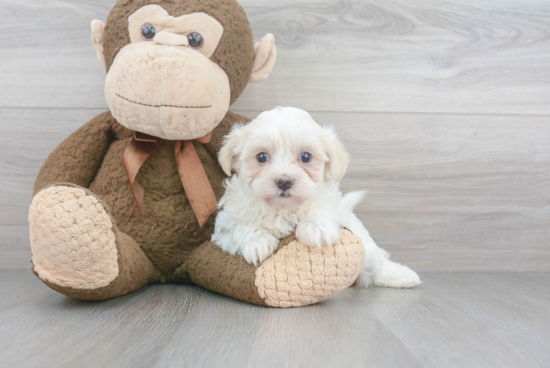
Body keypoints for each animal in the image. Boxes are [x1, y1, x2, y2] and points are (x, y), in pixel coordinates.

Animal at [213, 106, 420, 288]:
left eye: (306, 157)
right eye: (261, 157)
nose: (284, 181)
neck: (283, 209)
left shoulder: (334, 208)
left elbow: (320, 210)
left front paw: (316, 228)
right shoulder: (224, 224)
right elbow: (239, 225)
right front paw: (257, 242)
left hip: (364, 243)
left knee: (375, 261)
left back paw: (403, 276)